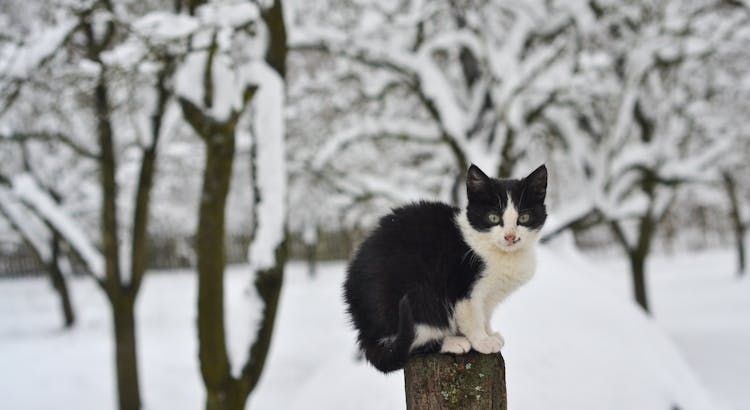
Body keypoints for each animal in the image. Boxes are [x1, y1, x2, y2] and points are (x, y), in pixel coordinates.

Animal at [344, 163, 548, 372]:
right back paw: (453, 342)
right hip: (416, 294)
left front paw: (489, 333)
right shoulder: (460, 283)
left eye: (524, 218)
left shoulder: (489, 295)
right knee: (414, 343)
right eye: (493, 217)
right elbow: (472, 315)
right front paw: (482, 341)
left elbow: (485, 313)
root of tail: (364, 330)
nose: (510, 236)